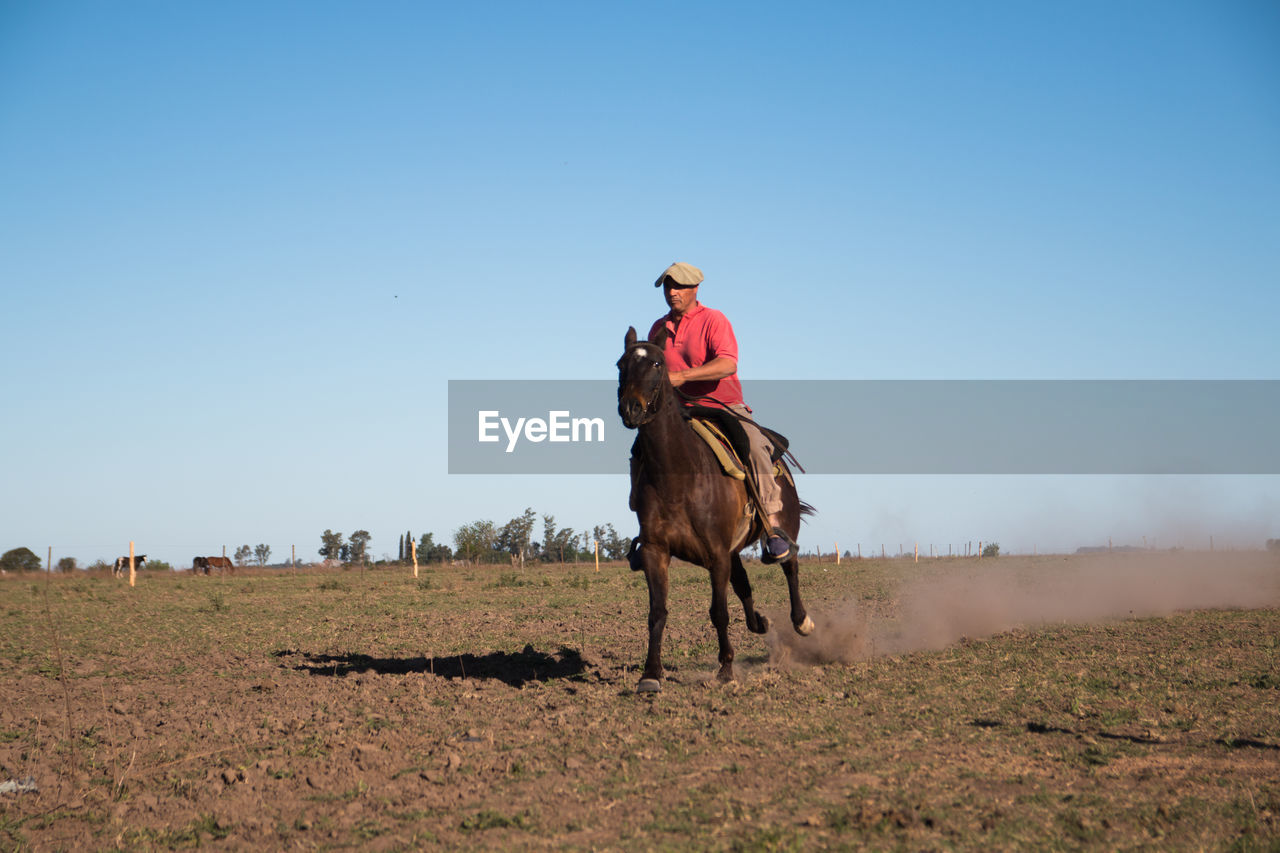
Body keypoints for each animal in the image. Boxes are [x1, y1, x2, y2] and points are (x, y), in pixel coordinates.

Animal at [616, 325, 814, 691]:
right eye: (621, 365)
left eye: (656, 364)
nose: (631, 409)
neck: (678, 474)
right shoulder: (656, 551)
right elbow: (657, 611)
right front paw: (650, 674)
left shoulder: (716, 555)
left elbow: (718, 612)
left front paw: (725, 670)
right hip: (732, 551)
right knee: (744, 585)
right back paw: (760, 623)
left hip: (783, 525)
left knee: (790, 566)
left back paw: (801, 621)